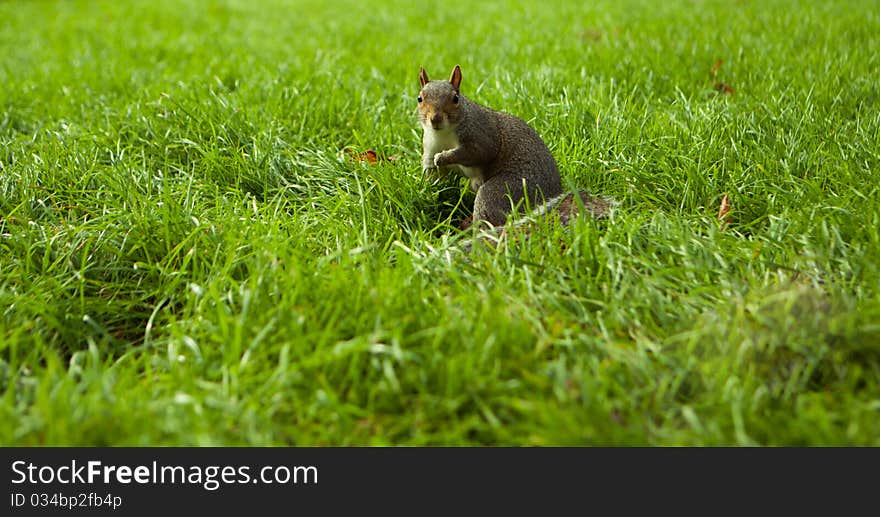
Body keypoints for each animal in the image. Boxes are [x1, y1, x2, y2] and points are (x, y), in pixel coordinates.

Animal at [418, 65, 612, 231]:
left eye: (455, 98)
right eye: (420, 98)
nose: (435, 119)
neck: (443, 133)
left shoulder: (481, 135)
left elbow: (477, 152)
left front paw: (444, 157)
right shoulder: (430, 145)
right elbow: (433, 174)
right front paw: (427, 191)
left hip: (507, 190)